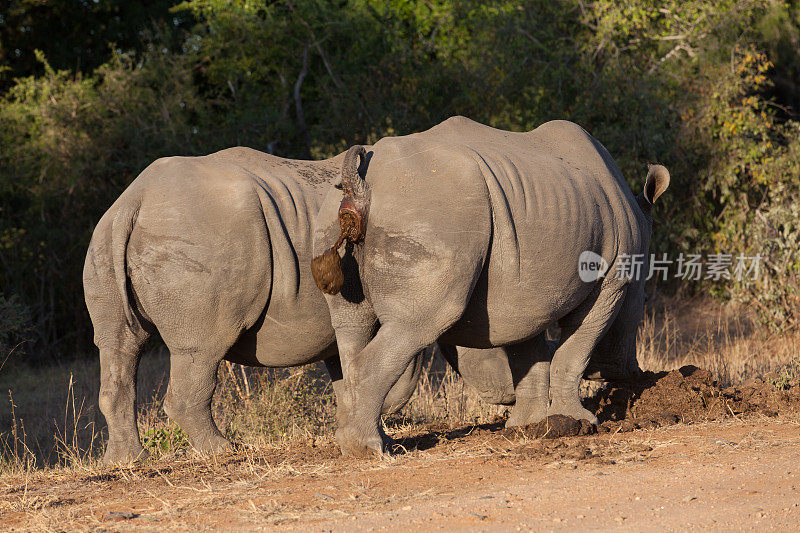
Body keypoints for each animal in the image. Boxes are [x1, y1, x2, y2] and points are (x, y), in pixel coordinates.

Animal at [83, 148, 424, 464]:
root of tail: (133, 201)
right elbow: (401, 369)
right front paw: (383, 430)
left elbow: (347, 371)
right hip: (199, 238)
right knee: (203, 348)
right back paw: (223, 450)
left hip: (105, 239)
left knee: (120, 344)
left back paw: (125, 461)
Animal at [312, 118, 668, 456]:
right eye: (644, 301)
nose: (632, 372)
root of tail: (359, 184)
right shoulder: (613, 280)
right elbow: (575, 348)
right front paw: (580, 423)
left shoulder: (527, 289)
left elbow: (528, 353)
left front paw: (530, 426)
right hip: (432, 213)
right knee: (418, 323)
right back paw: (368, 450)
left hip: (345, 213)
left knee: (351, 325)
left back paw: (370, 444)